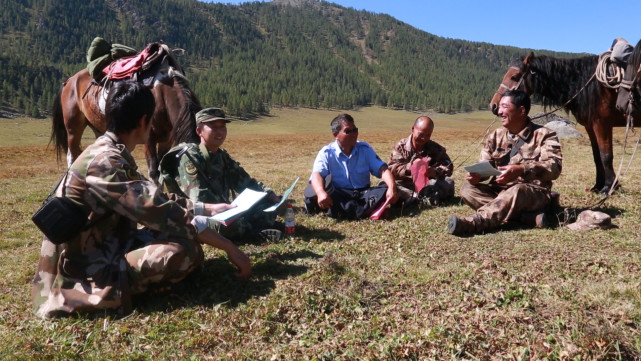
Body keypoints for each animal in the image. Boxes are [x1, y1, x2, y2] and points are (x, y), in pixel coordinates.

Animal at [50, 65, 200, 180]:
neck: (161, 95)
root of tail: (70, 81)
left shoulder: (166, 139)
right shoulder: (148, 139)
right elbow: (153, 171)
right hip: (73, 129)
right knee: (72, 156)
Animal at [490, 52, 632, 194]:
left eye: (514, 76)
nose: (494, 105)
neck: (589, 85)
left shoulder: (602, 123)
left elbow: (606, 156)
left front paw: (609, 187)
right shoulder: (591, 126)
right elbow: (597, 156)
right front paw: (598, 186)